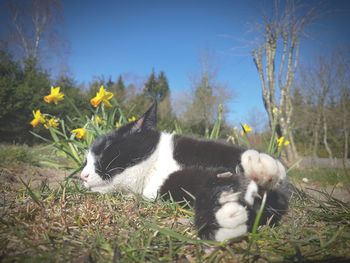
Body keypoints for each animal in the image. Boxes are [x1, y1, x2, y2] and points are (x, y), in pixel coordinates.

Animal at [80, 104, 292, 242]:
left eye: (104, 149)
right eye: (85, 162)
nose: (82, 176)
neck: (154, 166)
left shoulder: (185, 145)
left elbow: (216, 149)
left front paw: (262, 166)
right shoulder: (161, 188)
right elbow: (195, 183)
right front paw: (220, 214)